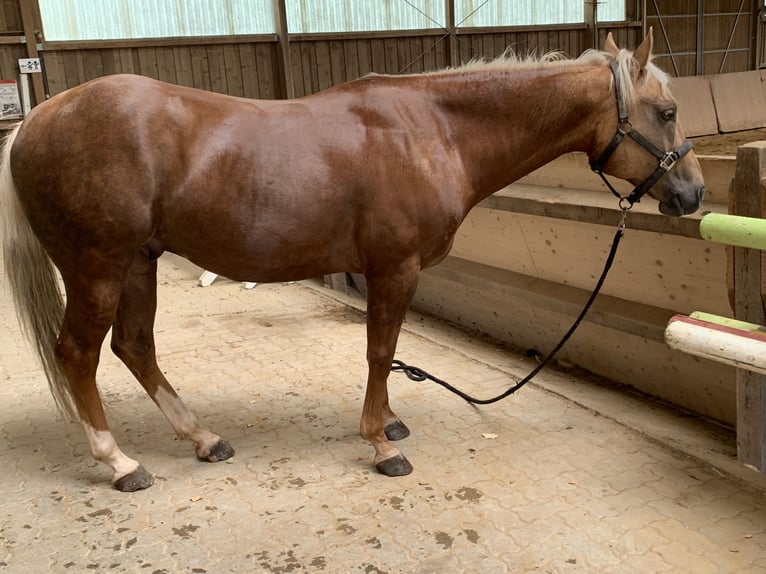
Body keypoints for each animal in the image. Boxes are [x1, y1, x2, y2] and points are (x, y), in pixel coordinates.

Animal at [0, 30, 704, 491]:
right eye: (667, 112)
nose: (693, 194)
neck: (432, 130)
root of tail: (38, 119)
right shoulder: (395, 268)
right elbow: (378, 350)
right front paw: (379, 444)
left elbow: (386, 355)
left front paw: (388, 423)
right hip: (97, 268)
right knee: (79, 355)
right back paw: (120, 463)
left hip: (139, 264)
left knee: (135, 347)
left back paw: (203, 439)